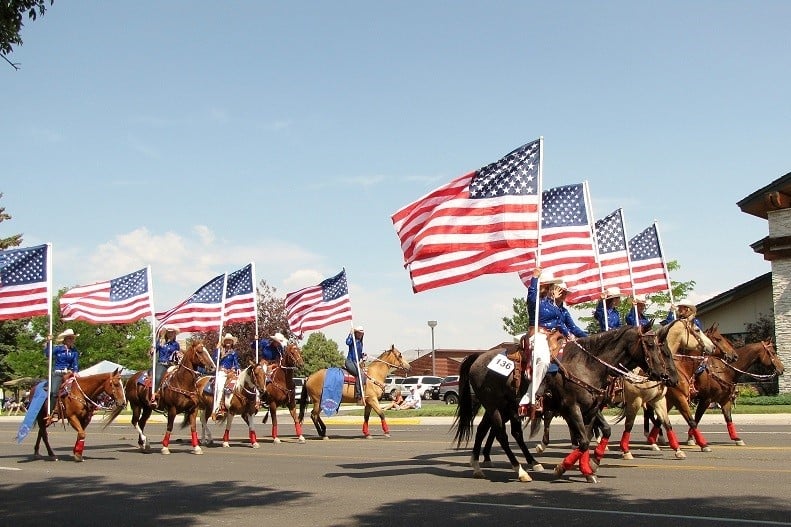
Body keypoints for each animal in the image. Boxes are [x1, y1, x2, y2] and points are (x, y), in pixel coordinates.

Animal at [454, 320, 676, 484]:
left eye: (663, 348)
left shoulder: (591, 410)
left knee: (488, 430)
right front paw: (563, 467)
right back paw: (520, 471)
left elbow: (591, 436)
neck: (588, 365)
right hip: (495, 407)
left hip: (505, 408)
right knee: (501, 435)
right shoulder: (572, 408)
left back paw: (482, 465)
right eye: (651, 345)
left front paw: (588, 468)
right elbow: (584, 440)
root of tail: (478, 357)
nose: (666, 376)